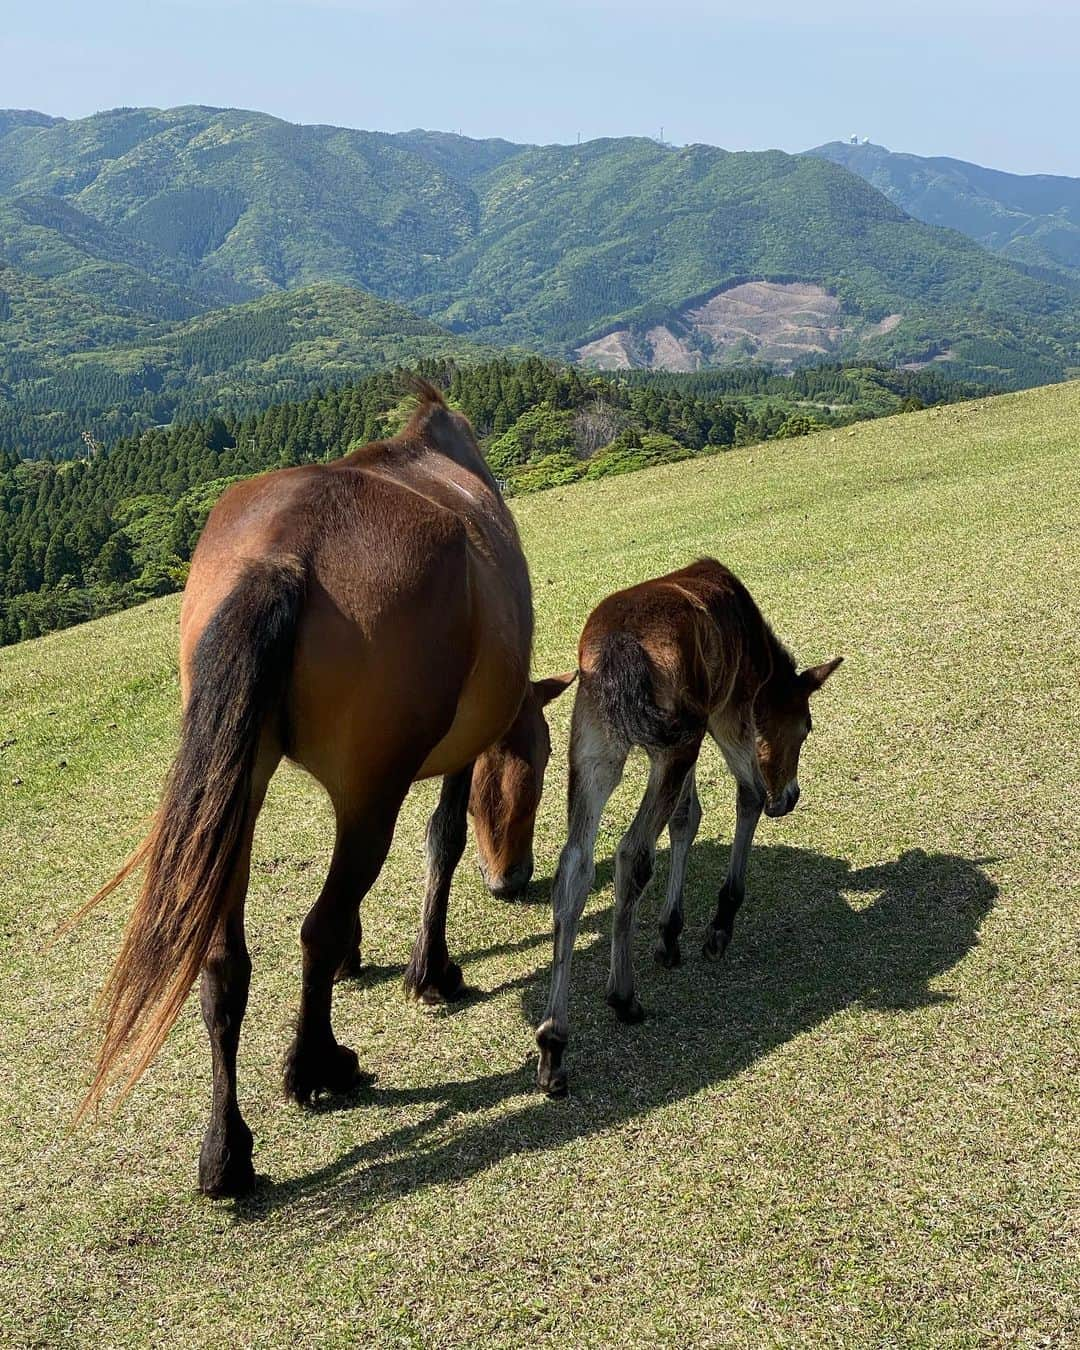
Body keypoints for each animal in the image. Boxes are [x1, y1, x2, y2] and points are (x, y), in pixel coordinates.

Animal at [75, 380, 572, 1193]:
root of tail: (286, 551)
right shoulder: (454, 755)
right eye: (543, 762)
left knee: (225, 963)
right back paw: (318, 1066)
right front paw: (432, 972)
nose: (514, 881)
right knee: (319, 923)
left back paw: (227, 1153)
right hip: (371, 793)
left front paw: (362, 962)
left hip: (236, 795)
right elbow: (443, 842)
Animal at [534, 558, 837, 1096]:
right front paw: (718, 925)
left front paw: (669, 934)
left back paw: (553, 1045)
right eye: (805, 728)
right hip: (679, 739)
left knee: (575, 867)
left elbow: (686, 817)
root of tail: (616, 647)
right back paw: (623, 997)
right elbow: (746, 795)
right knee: (632, 853)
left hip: (596, 748)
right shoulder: (730, 709)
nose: (790, 798)